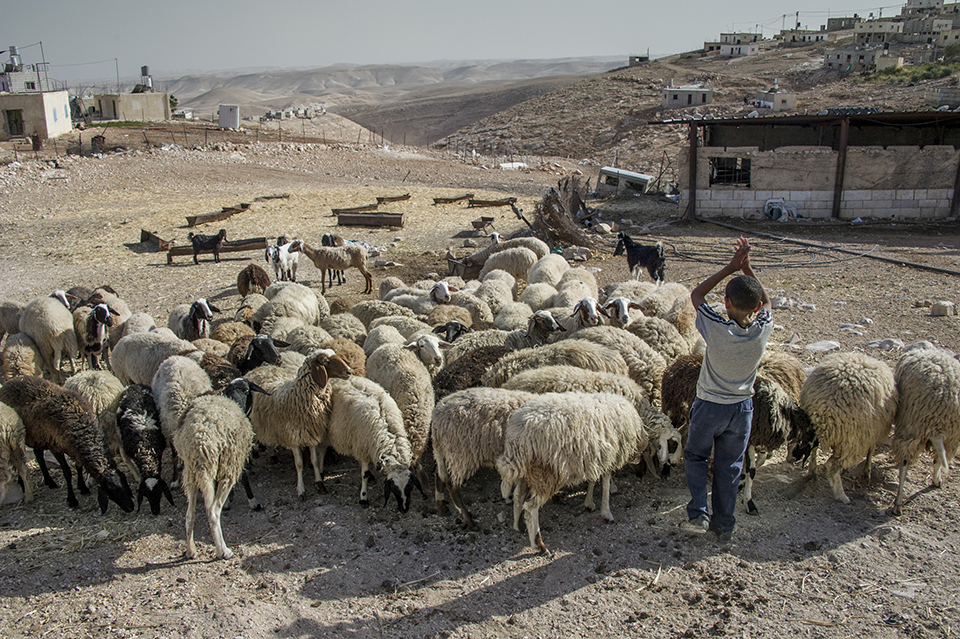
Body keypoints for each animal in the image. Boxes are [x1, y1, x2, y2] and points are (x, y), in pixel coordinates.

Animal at [432, 388, 536, 528]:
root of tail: (437, 415)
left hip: (444, 453)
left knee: (439, 474)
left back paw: (441, 506)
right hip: (460, 454)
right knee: (452, 486)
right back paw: (468, 520)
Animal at [496, 392, 644, 552]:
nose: (641, 473)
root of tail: (517, 435)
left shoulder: (594, 457)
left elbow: (593, 479)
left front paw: (589, 503)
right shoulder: (608, 456)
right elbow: (605, 483)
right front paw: (606, 512)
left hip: (528, 472)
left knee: (518, 497)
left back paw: (518, 526)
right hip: (548, 473)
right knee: (530, 508)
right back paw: (539, 544)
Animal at [800, 352, 896, 502]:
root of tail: (823, 405)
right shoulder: (870, 432)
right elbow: (871, 449)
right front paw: (867, 471)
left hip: (815, 428)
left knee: (814, 449)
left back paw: (812, 471)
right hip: (851, 439)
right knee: (832, 465)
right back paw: (841, 495)